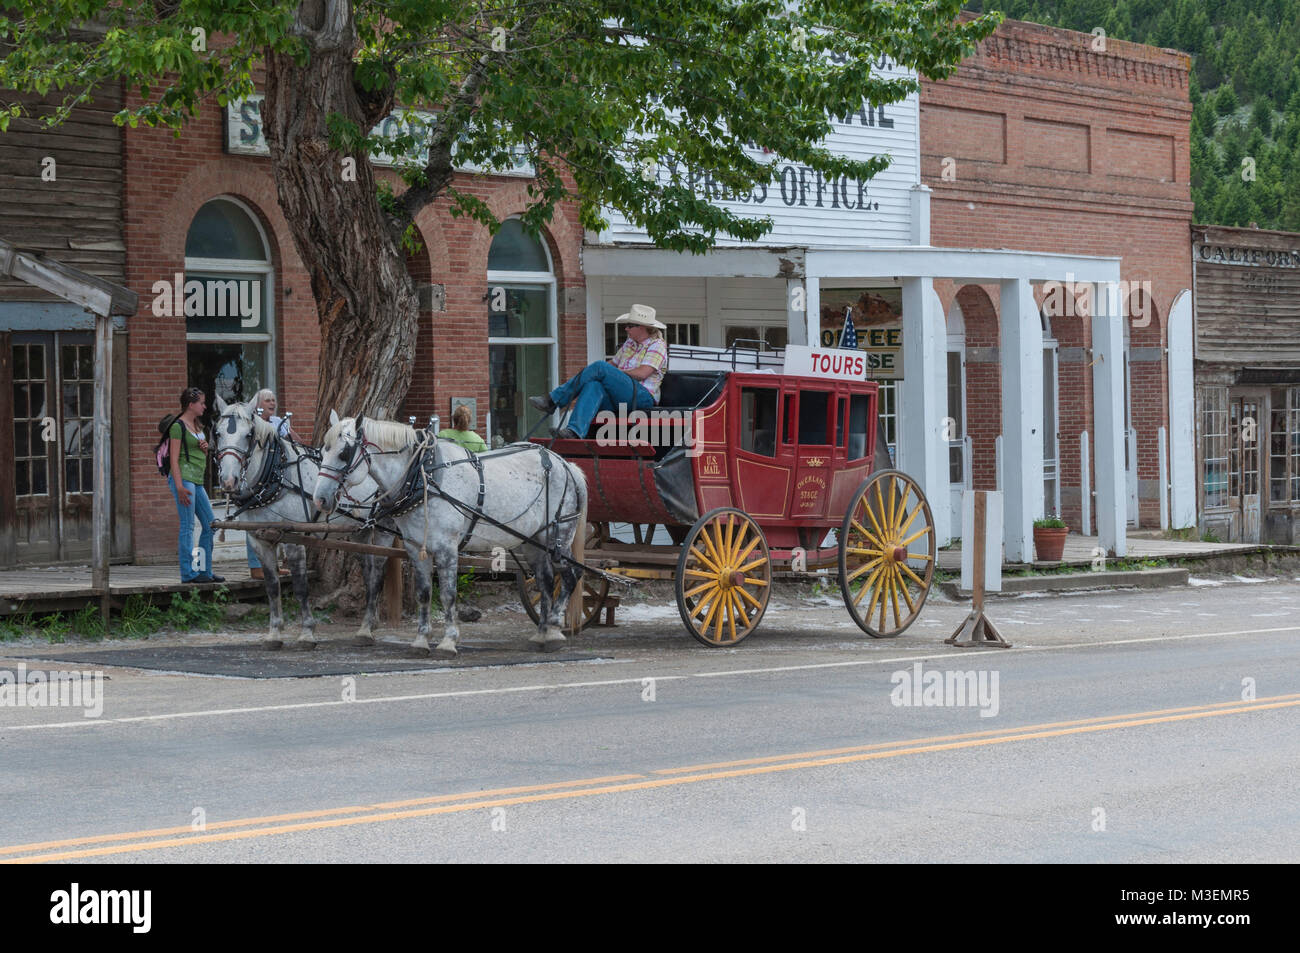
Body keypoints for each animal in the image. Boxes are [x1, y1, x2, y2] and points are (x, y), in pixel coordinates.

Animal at [215, 392, 395, 647]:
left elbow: (300, 586)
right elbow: (272, 586)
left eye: (248, 435)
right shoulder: (258, 539)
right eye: (217, 433)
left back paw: (367, 629)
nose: (228, 480)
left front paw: (307, 632)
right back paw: (369, 623)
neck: (277, 475)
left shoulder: (294, 538)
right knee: (369, 573)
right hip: (360, 531)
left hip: (385, 529)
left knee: (378, 573)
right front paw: (274, 633)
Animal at [312, 413, 587, 657]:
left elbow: (447, 594)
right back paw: (541, 634)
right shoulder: (416, 548)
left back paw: (554, 628)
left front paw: (448, 642)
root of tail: (566, 465)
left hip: (558, 535)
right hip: (533, 542)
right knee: (546, 581)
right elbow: (424, 593)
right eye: (322, 452)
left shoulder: (447, 547)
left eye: (344, 453)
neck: (423, 475)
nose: (320, 499)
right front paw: (421, 641)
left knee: (570, 576)